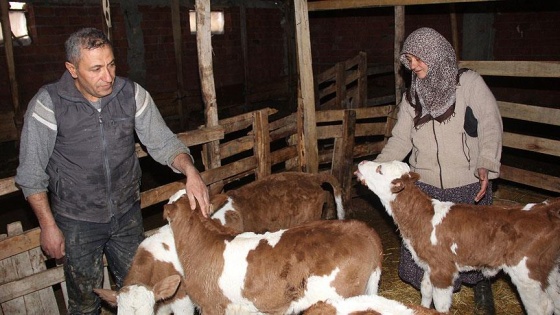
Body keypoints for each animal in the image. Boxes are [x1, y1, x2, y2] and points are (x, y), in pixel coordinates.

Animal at [354, 162, 560, 314]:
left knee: (542, 307)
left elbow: (441, 304)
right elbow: (426, 291)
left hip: (526, 273)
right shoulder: (430, 265)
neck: (423, 217)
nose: (362, 163)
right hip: (550, 272)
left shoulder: (444, 269)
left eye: (380, 169)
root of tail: (542, 210)